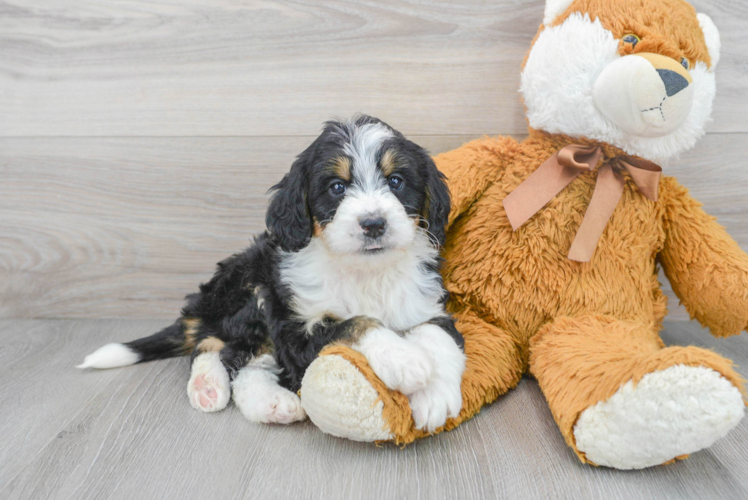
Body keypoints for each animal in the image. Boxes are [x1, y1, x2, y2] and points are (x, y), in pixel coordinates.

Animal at [82, 115, 468, 432]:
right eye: (337, 187)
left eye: (396, 181)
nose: (373, 224)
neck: (364, 272)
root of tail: (203, 306)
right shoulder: (296, 331)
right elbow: (354, 323)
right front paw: (404, 359)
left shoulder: (426, 305)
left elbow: (438, 336)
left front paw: (435, 397)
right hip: (253, 290)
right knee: (227, 353)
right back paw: (235, 392)